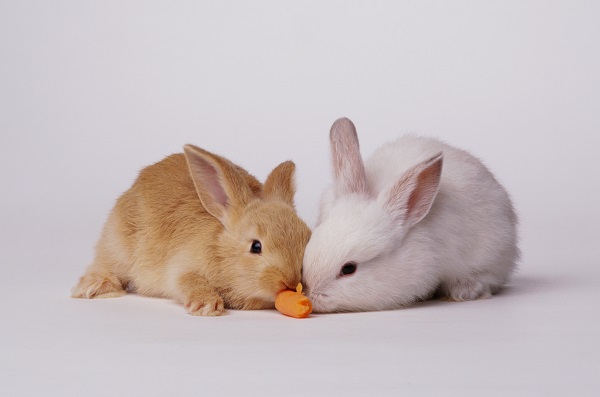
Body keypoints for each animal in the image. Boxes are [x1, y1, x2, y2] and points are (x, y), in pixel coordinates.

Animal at [72, 143, 312, 316]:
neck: (220, 251)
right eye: (256, 246)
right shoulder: (181, 268)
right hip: (117, 246)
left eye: (307, 238)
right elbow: (187, 282)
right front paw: (207, 305)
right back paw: (95, 287)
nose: (291, 282)